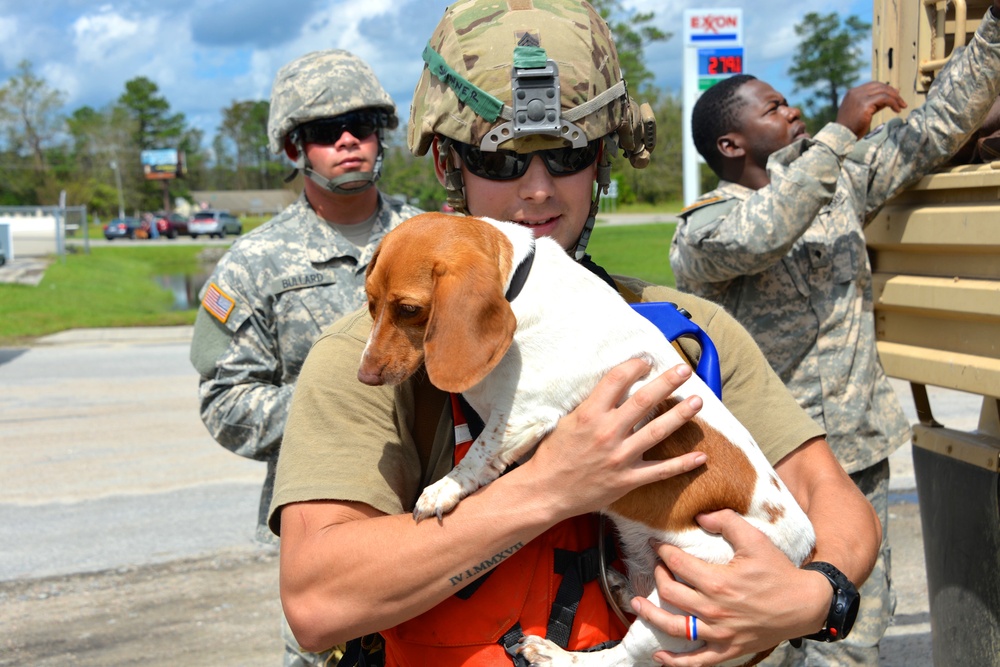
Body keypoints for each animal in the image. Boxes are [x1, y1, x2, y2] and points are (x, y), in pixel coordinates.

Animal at [356, 213, 816, 667]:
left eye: (409, 309)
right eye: (370, 303)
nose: (365, 375)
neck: (521, 286)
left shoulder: (521, 415)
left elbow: (477, 458)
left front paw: (442, 491)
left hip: (686, 600)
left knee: (622, 658)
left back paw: (553, 654)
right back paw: (622, 588)